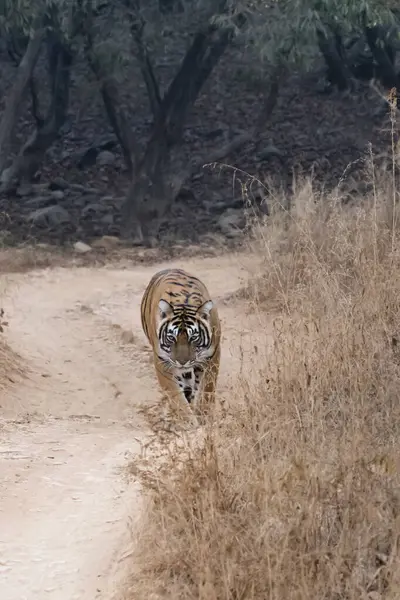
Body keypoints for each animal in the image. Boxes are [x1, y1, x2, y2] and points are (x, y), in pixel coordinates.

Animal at [141, 268, 222, 418]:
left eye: (194, 337)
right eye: (171, 337)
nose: (182, 362)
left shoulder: (213, 356)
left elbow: (207, 389)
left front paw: (204, 415)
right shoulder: (163, 362)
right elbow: (177, 398)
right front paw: (189, 420)